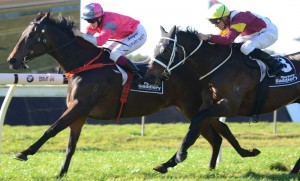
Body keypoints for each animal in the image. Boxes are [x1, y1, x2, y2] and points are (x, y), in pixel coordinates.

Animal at [6, 13, 260, 177]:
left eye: (30, 36)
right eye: (23, 34)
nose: (12, 60)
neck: (85, 65)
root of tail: (201, 68)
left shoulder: (79, 106)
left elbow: (52, 129)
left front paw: (23, 153)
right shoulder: (79, 112)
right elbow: (70, 144)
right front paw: (61, 172)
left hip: (192, 107)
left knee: (217, 132)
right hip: (195, 107)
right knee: (217, 134)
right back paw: (224, 162)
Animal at [145, 24, 300, 173]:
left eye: (165, 50)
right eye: (154, 48)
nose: (150, 76)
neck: (218, 65)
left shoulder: (229, 106)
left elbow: (199, 121)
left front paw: (180, 155)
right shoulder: (208, 103)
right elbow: (197, 128)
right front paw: (169, 162)